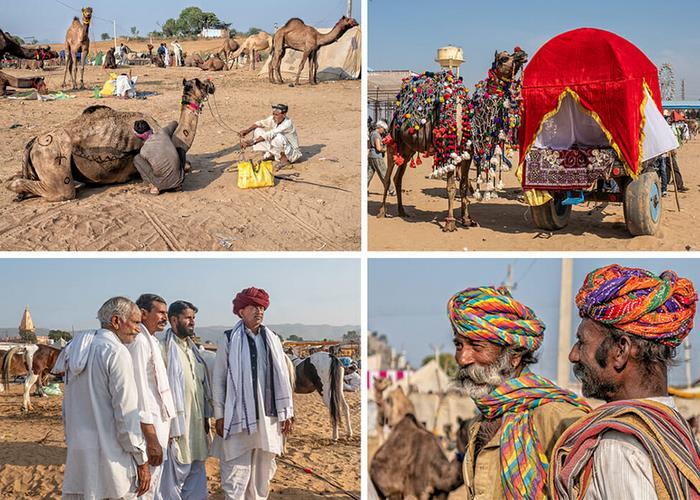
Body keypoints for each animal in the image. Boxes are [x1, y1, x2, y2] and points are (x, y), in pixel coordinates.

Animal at [6, 77, 215, 201]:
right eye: (202, 84)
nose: (212, 85)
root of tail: (33, 142)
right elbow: (186, 166)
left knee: (14, 178)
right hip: (53, 157)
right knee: (58, 191)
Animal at [380, 47, 528, 231]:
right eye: (503, 58)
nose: (522, 54)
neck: (472, 119)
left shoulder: (467, 155)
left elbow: (463, 185)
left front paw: (467, 220)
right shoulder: (450, 152)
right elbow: (451, 187)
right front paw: (450, 222)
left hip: (408, 149)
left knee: (398, 177)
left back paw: (402, 211)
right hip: (392, 142)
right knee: (387, 177)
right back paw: (382, 211)